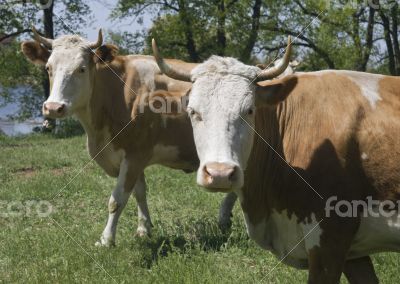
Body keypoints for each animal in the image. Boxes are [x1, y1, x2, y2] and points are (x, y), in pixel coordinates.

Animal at [21, 28, 238, 246]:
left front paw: (106, 240)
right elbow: (139, 192)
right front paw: (144, 228)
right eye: (48, 68)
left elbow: (117, 200)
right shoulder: (131, 157)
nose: (53, 107)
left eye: (81, 69)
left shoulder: (135, 155)